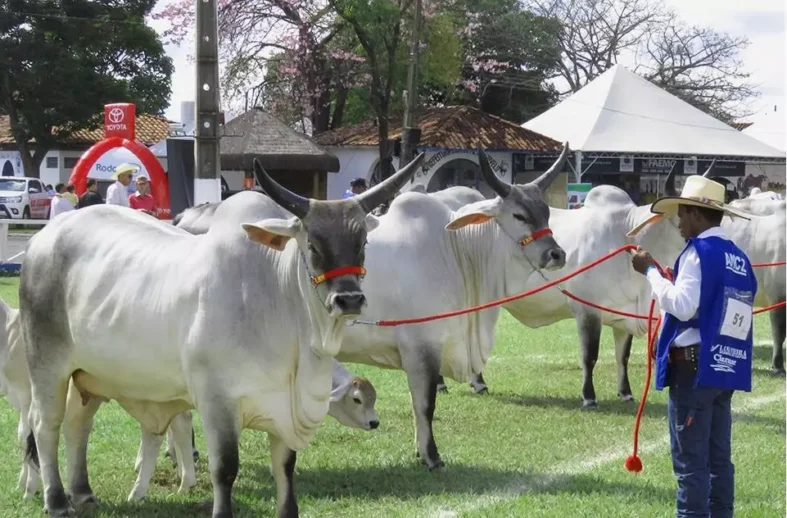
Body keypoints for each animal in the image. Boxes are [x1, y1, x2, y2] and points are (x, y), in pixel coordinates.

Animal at [17, 155, 421, 518]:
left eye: (362, 243)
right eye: (313, 246)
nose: (349, 299)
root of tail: (43, 238)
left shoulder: (283, 408)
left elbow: (285, 468)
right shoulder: (217, 402)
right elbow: (225, 470)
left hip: (89, 376)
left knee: (78, 424)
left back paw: (83, 493)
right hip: (47, 365)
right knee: (45, 425)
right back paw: (57, 501)